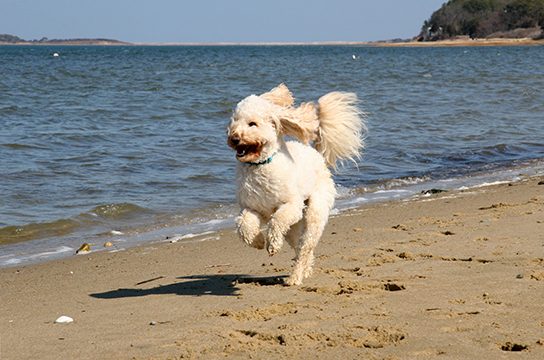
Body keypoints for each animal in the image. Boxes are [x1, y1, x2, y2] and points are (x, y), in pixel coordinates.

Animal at [226, 83, 366, 286]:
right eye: (234, 122)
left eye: (252, 124)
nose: (234, 138)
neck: (261, 165)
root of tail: (318, 156)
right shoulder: (252, 208)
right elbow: (244, 225)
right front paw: (257, 241)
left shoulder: (292, 205)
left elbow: (276, 221)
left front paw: (272, 244)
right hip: (294, 228)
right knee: (301, 249)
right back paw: (305, 270)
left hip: (314, 214)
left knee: (305, 247)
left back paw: (295, 277)